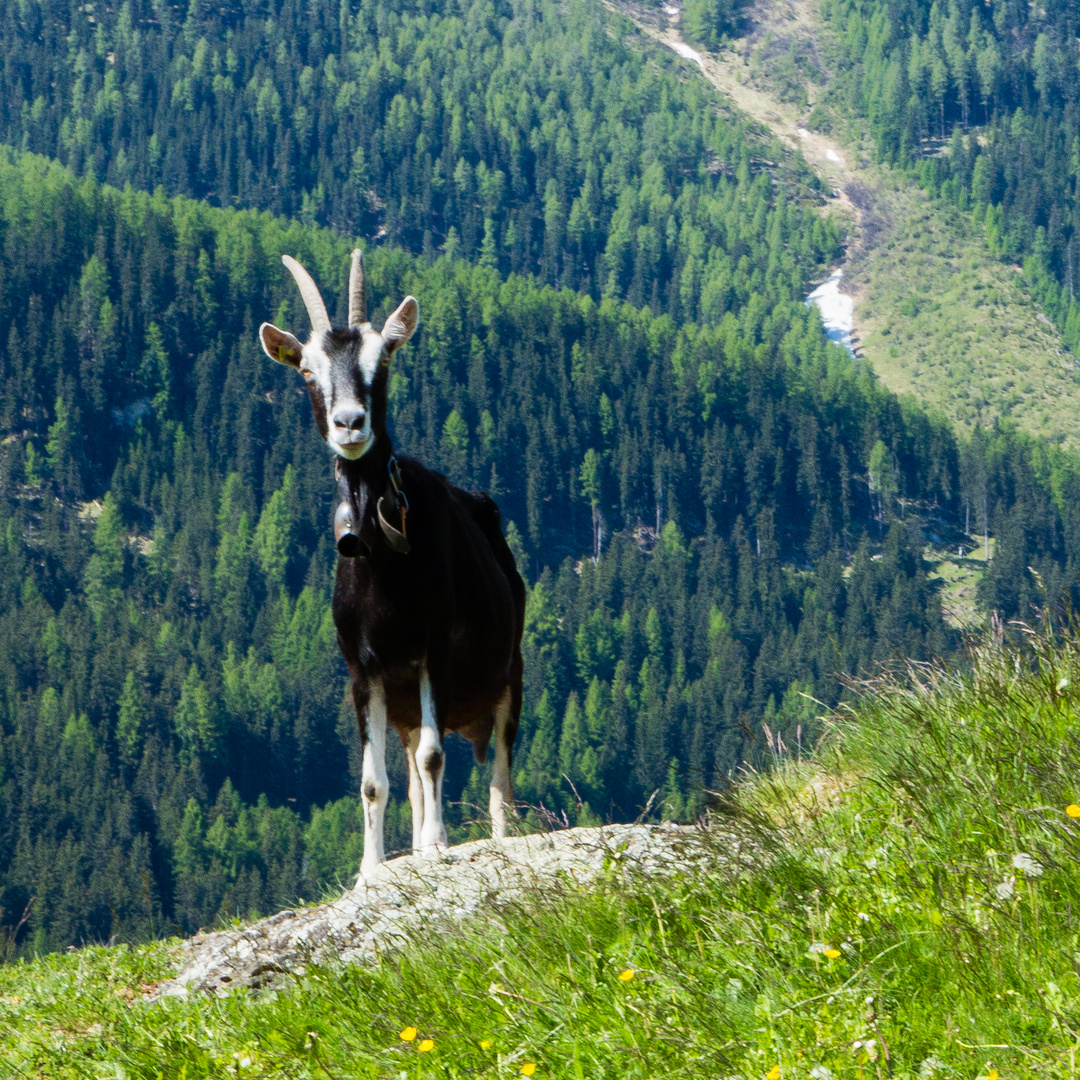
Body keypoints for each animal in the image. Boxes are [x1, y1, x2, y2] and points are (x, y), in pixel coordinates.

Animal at [259, 248, 524, 872]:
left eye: (383, 360)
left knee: (499, 778)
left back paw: (491, 837)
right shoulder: (365, 670)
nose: (350, 424)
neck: (383, 565)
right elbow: (373, 782)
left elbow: (433, 756)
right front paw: (370, 869)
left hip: (510, 675)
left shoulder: (436, 651)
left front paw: (437, 845)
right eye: (307, 370)